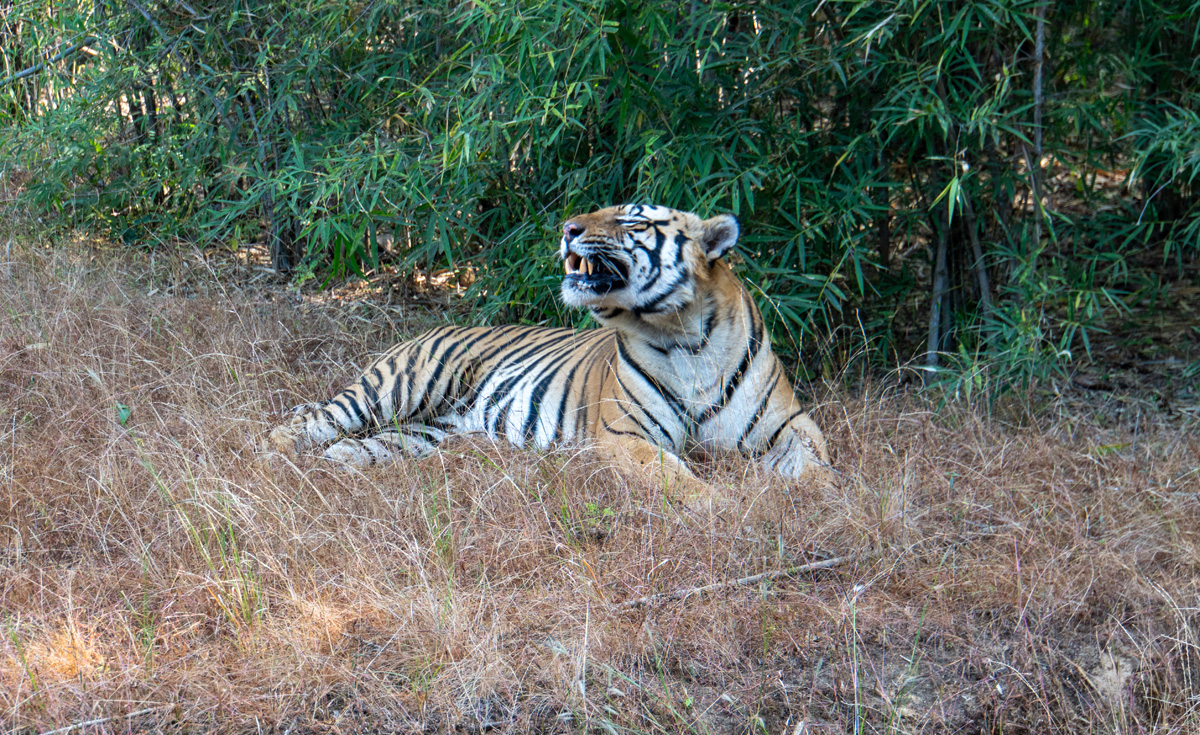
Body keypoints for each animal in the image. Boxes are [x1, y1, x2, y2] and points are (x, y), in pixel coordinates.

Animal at [269, 204, 828, 505]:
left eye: (633, 221)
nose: (567, 228)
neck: (687, 337)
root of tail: (429, 328)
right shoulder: (626, 437)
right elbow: (676, 477)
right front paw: (722, 505)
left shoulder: (790, 424)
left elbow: (822, 467)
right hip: (396, 388)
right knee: (303, 425)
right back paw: (273, 461)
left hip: (420, 433)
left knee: (351, 449)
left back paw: (327, 470)